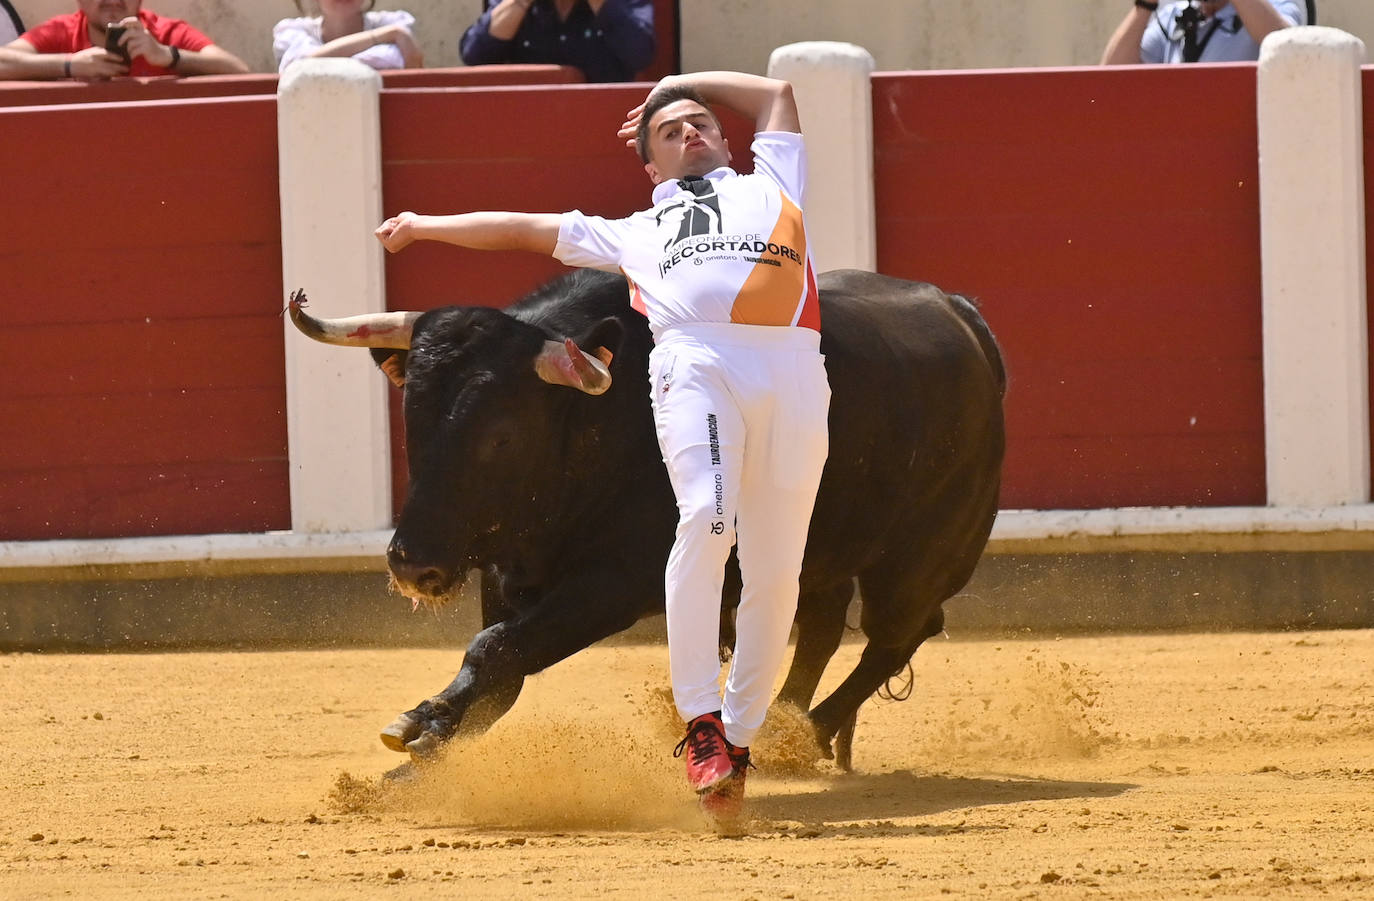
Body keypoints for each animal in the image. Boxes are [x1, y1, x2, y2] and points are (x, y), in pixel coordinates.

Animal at [289, 267, 1005, 769]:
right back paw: (778, 724)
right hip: (811, 549)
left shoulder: (618, 580)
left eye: (501, 435)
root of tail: (961, 312)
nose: (413, 564)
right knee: (817, 629)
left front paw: (421, 729)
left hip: (924, 552)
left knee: (894, 636)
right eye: (412, 419)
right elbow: (500, 666)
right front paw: (421, 748)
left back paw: (797, 737)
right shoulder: (507, 571)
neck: (601, 419)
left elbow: (497, 649)